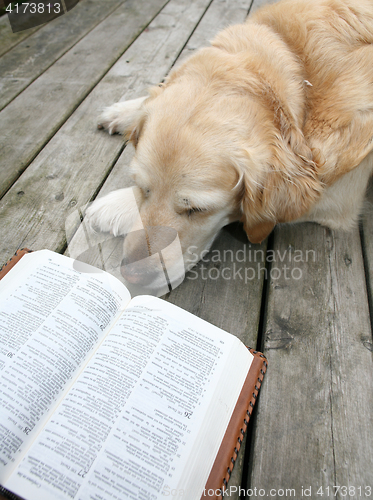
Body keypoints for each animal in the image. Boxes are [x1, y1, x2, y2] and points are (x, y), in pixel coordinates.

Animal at [86, 0, 372, 290]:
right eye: (144, 188)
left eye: (198, 210)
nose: (133, 275)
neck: (297, 61)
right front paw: (124, 111)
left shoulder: (339, 197)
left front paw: (112, 206)